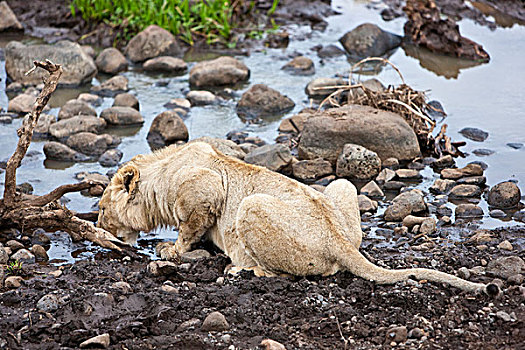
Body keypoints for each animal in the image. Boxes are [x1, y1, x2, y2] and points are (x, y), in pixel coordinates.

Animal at [97, 142, 496, 296]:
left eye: (100, 209)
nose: (98, 226)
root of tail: (338, 240)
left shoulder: (206, 188)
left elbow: (190, 228)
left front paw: (170, 250)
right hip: (340, 187)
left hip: (251, 205)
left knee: (293, 272)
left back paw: (243, 269)